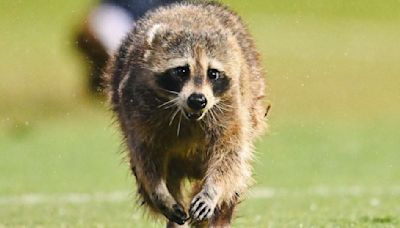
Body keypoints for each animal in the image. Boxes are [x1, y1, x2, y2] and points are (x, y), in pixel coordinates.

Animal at [106, 1, 268, 226]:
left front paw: (212, 192)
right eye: (182, 71)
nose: (198, 100)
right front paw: (159, 192)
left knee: (237, 175)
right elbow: (145, 157)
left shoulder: (233, 105)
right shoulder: (136, 108)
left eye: (213, 73)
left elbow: (230, 154)